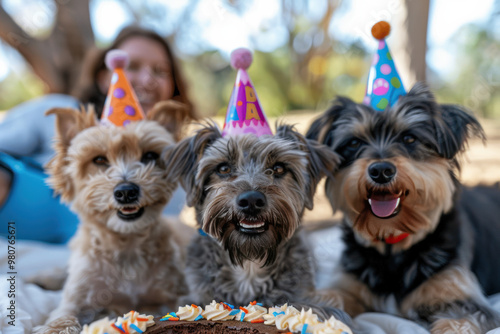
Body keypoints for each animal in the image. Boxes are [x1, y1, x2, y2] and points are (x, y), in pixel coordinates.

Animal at [306, 81, 500, 334]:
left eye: (409, 138)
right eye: (354, 142)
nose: (380, 171)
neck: (393, 241)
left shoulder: (464, 295)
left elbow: (460, 320)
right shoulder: (348, 283)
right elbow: (326, 298)